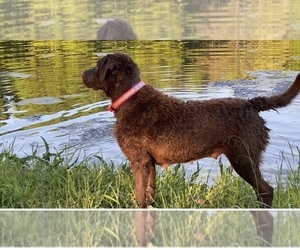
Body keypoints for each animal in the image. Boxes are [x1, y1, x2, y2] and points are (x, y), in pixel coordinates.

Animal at [81, 53, 300, 209]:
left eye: (97, 65)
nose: (82, 74)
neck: (130, 99)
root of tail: (250, 104)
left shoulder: (139, 162)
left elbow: (140, 197)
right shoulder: (149, 164)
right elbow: (149, 195)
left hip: (244, 158)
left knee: (266, 190)